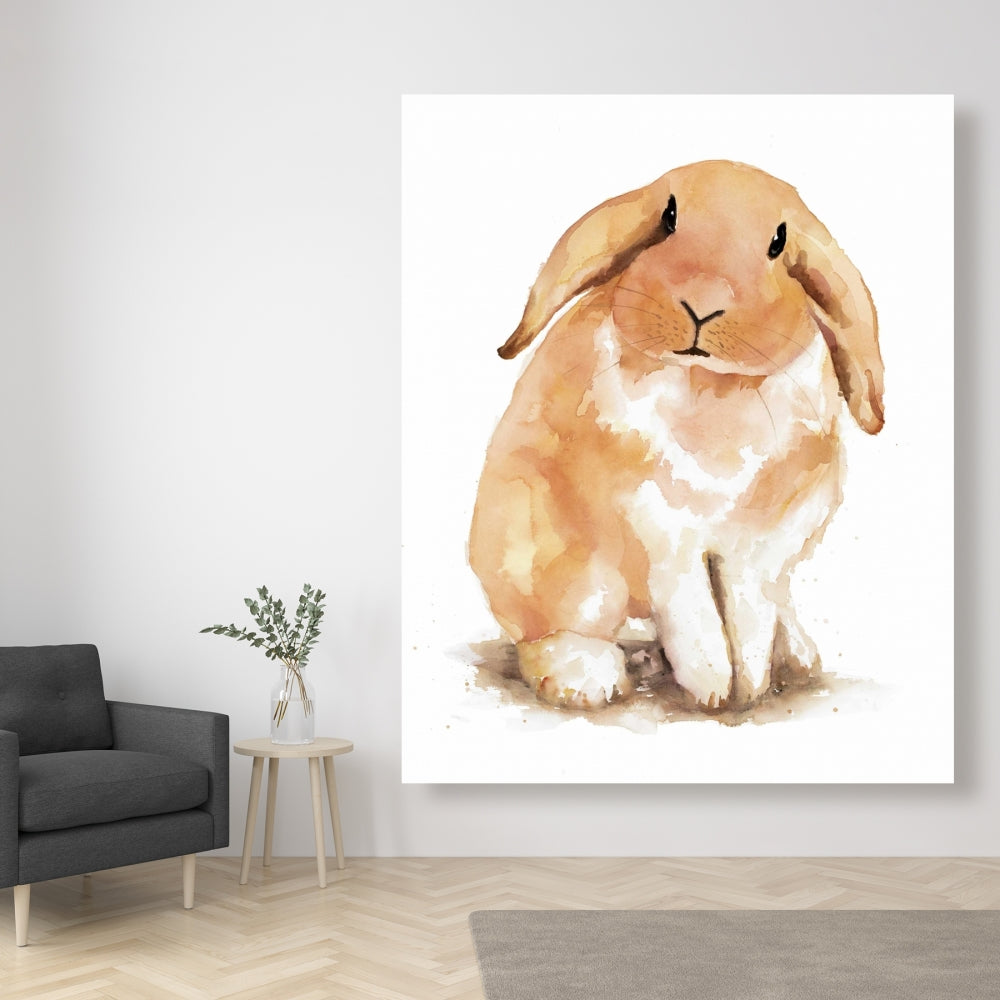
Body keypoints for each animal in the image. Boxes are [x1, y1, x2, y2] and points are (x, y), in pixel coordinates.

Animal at [468, 159, 884, 713]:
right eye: (668, 218)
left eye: (778, 242)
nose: (703, 305)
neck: (711, 384)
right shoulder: (660, 529)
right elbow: (696, 613)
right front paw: (714, 689)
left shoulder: (766, 542)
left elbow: (746, 614)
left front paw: (749, 687)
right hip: (549, 552)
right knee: (553, 627)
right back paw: (587, 678)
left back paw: (795, 653)